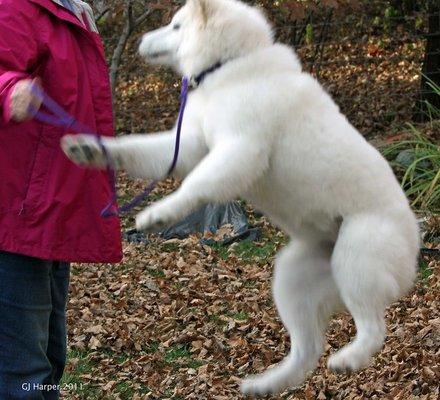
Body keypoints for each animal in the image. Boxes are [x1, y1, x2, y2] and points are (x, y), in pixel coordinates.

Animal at [62, 0, 420, 394]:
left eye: (175, 26)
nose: (141, 41)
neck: (230, 66)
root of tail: (416, 241)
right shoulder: (189, 146)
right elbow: (133, 148)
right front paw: (88, 148)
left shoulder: (239, 149)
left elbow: (196, 185)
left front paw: (160, 213)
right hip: (294, 278)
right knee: (307, 350)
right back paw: (267, 384)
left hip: (356, 259)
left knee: (373, 328)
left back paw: (349, 359)